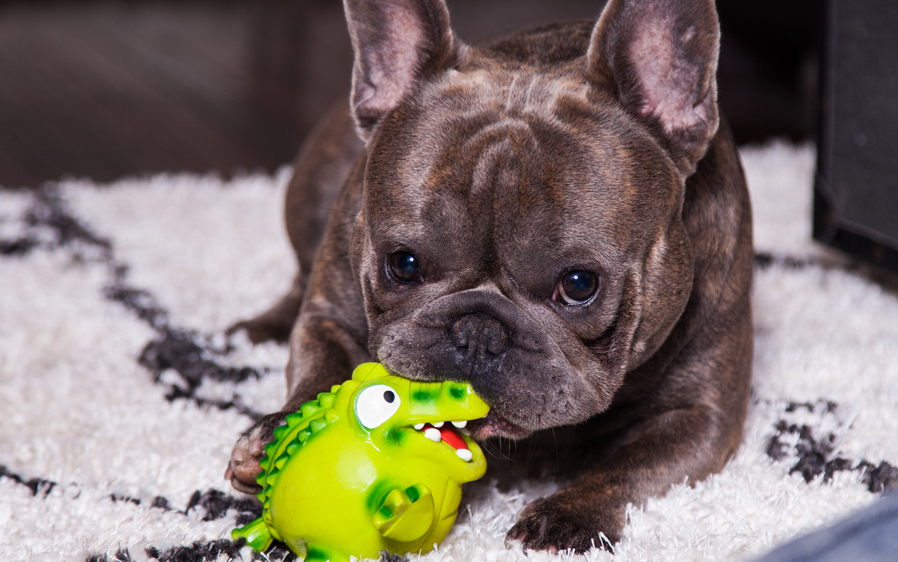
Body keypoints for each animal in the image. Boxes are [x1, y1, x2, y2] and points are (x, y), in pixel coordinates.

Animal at [224, 0, 748, 552]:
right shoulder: (328, 318)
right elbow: (319, 364)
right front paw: (274, 436)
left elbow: (629, 468)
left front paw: (567, 513)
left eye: (579, 284)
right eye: (403, 263)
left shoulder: (700, 416)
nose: (479, 332)